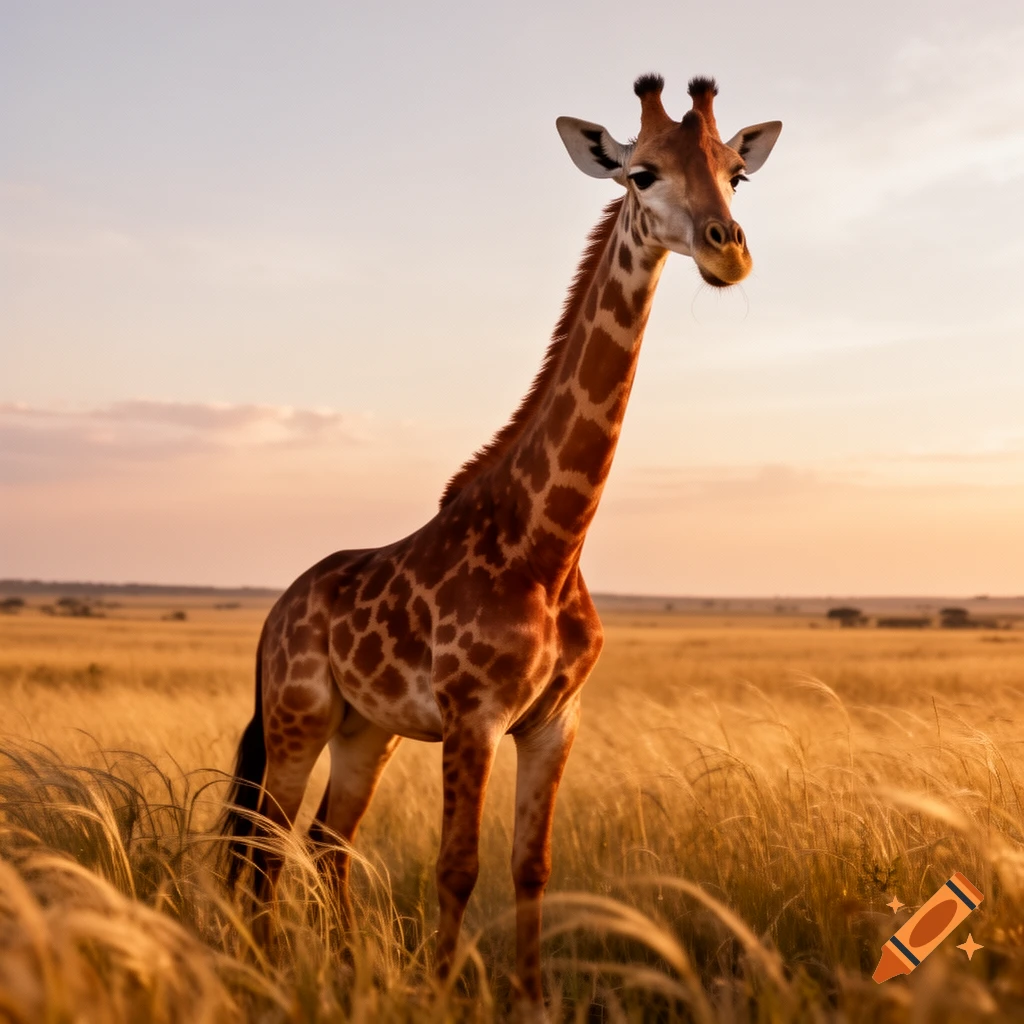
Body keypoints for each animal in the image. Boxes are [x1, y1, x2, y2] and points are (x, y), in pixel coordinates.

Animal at [221, 73, 781, 1008]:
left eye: (736, 174)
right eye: (639, 172)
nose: (727, 250)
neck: (549, 547)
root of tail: (277, 612)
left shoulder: (554, 721)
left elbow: (531, 865)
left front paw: (531, 997)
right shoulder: (473, 718)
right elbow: (457, 866)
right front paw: (443, 990)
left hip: (364, 729)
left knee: (328, 841)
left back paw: (342, 966)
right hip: (299, 714)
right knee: (266, 840)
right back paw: (261, 969)